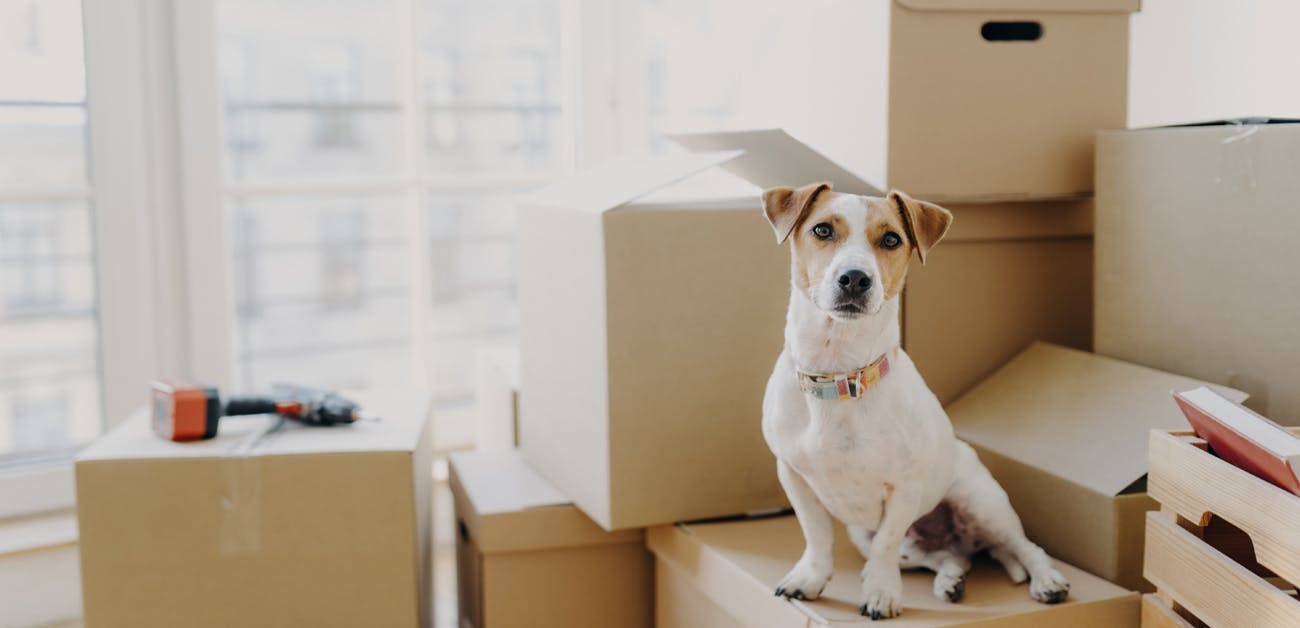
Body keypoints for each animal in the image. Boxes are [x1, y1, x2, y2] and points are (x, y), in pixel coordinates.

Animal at [759, 182, 1066, 618]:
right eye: (822, 230)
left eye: (891, 239)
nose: (855, 278)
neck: (840, 377)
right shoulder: (794, 476)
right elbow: (817, 536)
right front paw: (811, 578)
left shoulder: (904, 488)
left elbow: (885, 546)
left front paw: (881, 592)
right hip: (874, 535)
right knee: (949, 557)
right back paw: (950, 579)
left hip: (982, 505)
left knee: (1025, 547)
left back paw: (1047, 581)